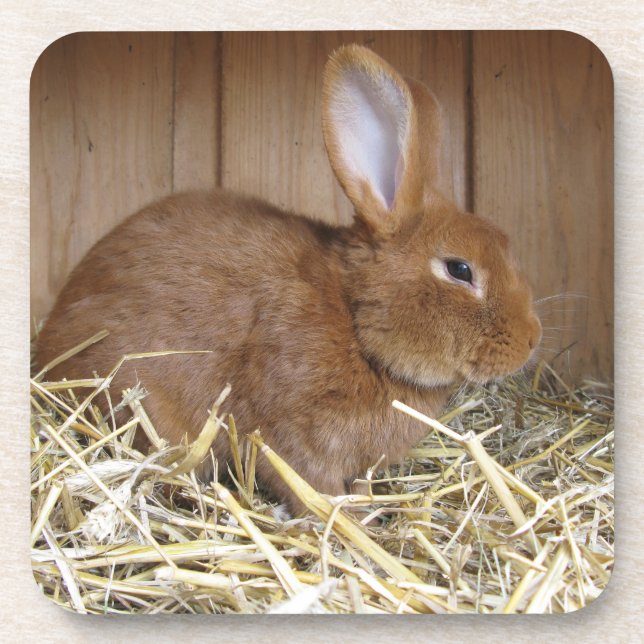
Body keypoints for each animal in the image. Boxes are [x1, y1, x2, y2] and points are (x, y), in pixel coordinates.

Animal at [35, 44, 542, 514]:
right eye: (460, 270)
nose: (531, 339)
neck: (353, 316)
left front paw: (364, 504)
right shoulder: (291, 432)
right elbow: (307, 481)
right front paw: (344, 518)